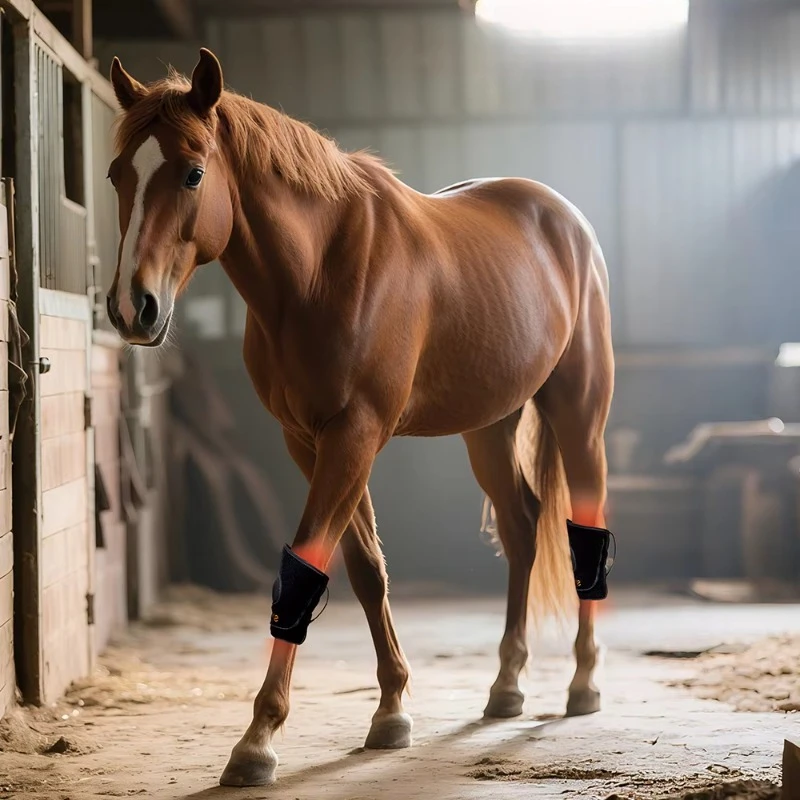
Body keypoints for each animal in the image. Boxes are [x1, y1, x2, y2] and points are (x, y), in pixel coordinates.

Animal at [106, 48, 615, 787]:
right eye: (118, 172)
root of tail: (567, 220)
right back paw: (507, 685)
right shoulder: (310, 441)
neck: (318, 271)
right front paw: (392, 710)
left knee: (586, 530)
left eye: (194, 171)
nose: (131, 308)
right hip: (488, 427)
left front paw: (257, 739)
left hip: (580, 414)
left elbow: (303, 568)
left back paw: (582, 683)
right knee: (522, 530)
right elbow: (364, 569)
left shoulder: (355, 435)